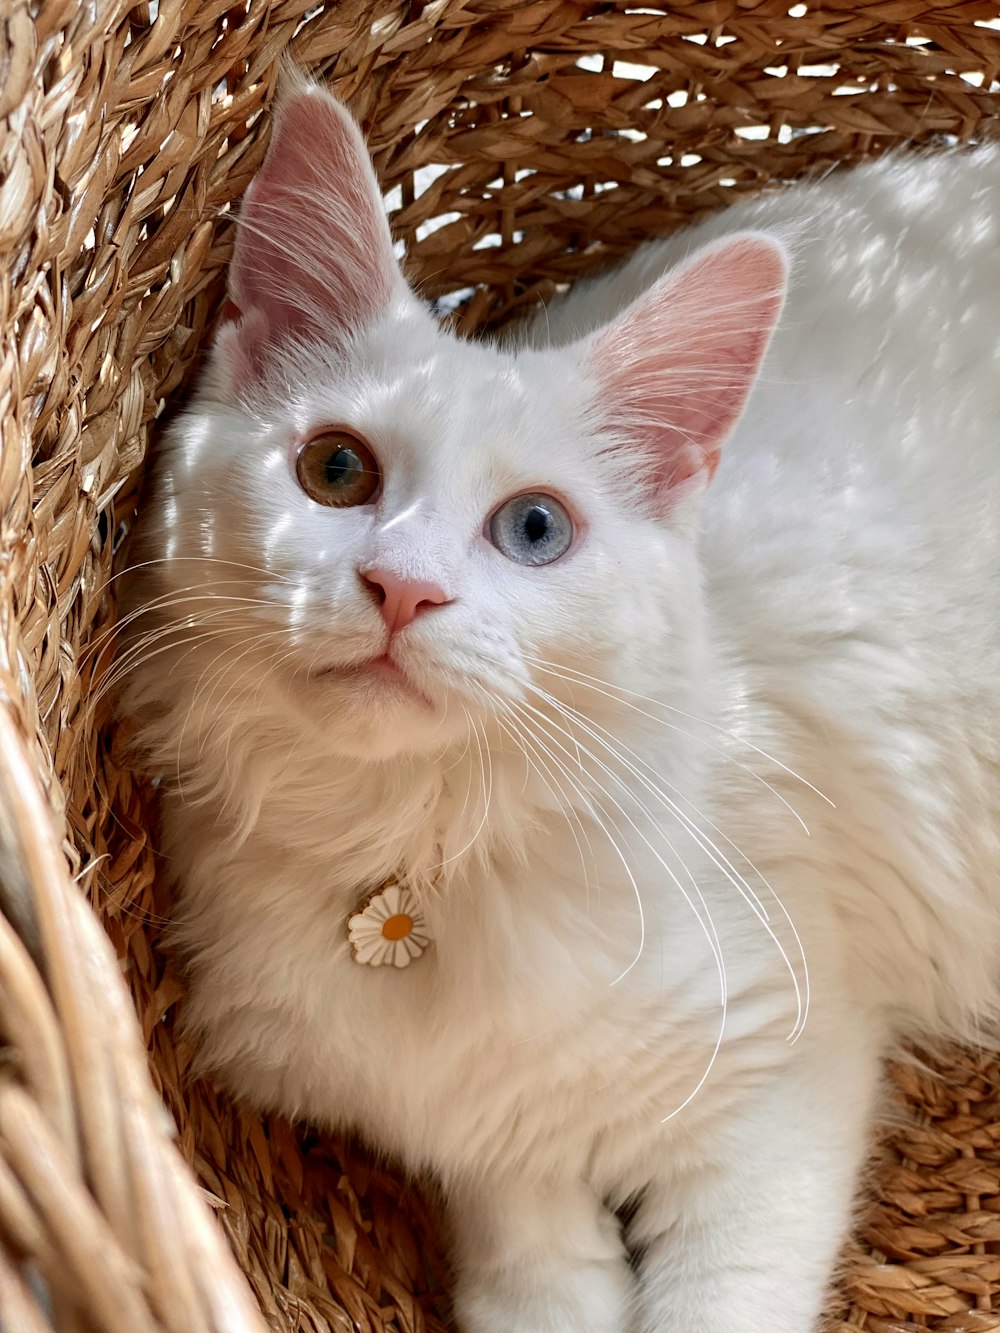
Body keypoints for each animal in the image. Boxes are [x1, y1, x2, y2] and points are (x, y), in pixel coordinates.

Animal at [123, 75, 1000, 1333]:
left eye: (534, 529)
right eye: (336, 472)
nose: (403, 588)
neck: (415, 849)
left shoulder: (779, 1077)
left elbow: (712, 1304)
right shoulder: (481, 1137)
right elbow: (534, 1268)